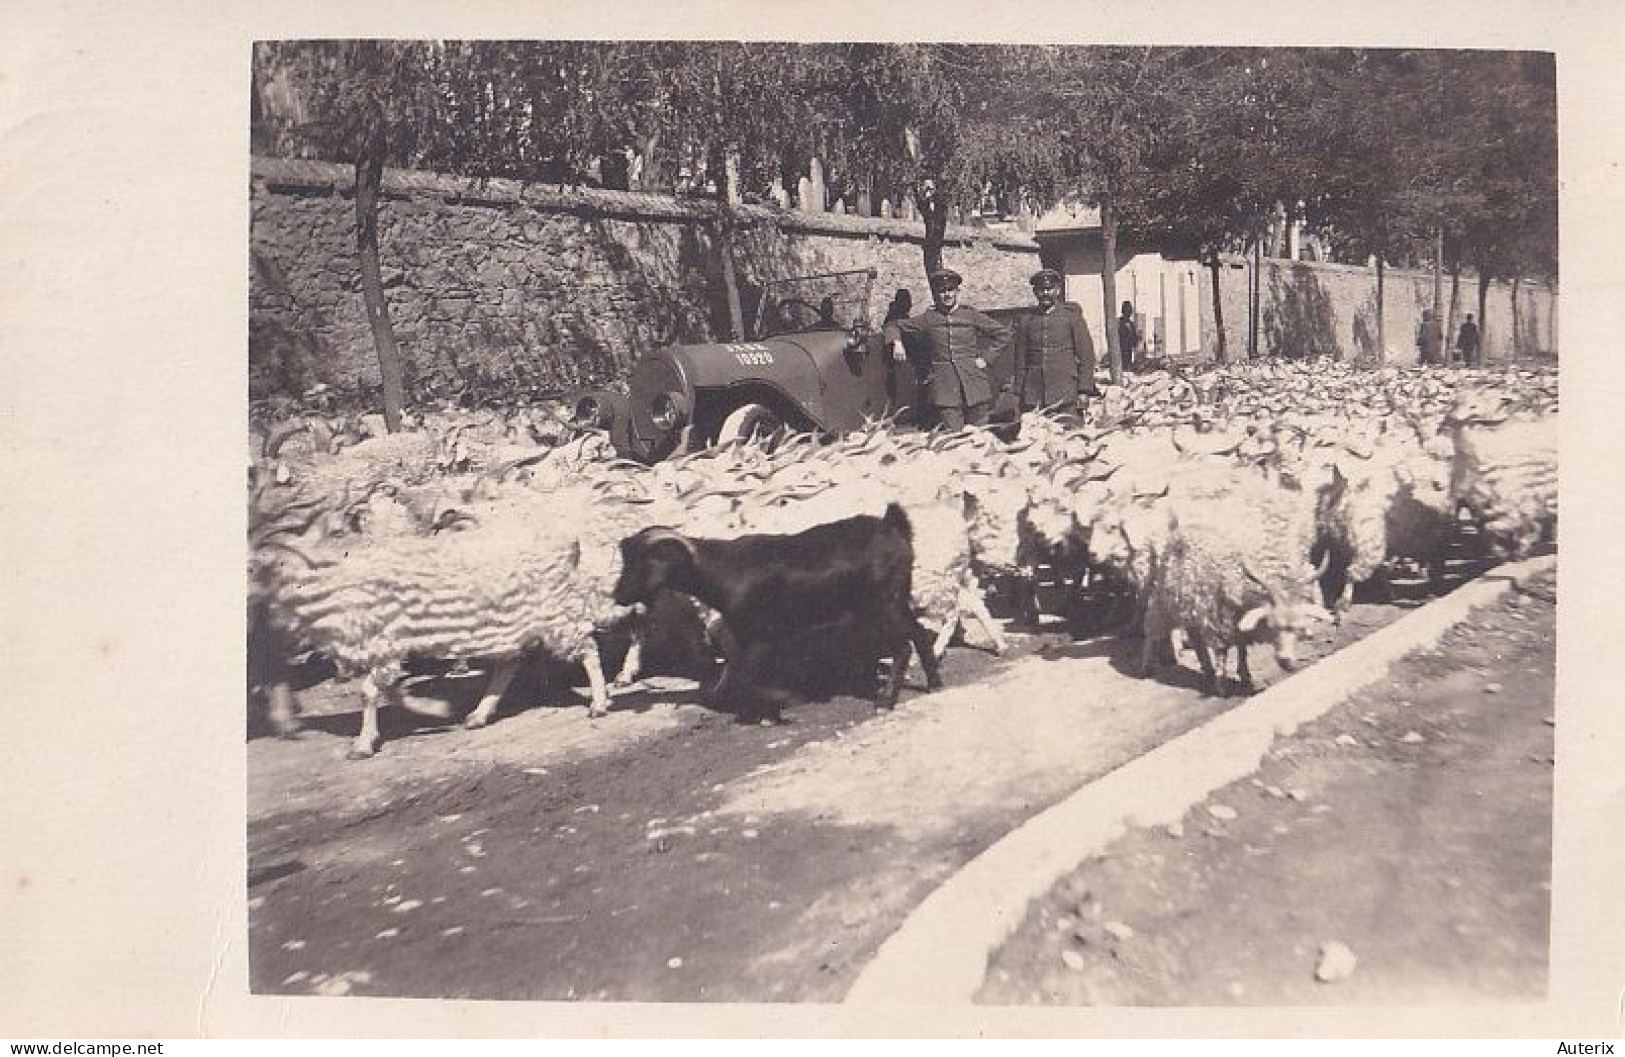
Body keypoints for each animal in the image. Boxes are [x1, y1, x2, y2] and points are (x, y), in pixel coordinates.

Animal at [611, 500, 942, 715]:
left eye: (642, 564)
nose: (617, 595)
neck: (723, 570)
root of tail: (892, 527)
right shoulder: (741, 635)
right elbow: (731, 676)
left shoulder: (761, 635)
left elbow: (745, 677)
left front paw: (779, 701)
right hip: (898, 599)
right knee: (920, 634)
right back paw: (935, 684)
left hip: (881, 605)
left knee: (903, 647)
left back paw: (885, 701)